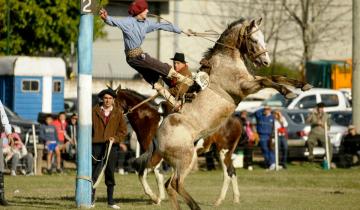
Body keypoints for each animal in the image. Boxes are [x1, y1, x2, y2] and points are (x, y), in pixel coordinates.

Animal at [156, 17, 310, 209]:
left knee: (171, 185)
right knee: (176, 183)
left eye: (262, 38)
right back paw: (197, 206)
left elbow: (275, 77)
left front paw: (301, 85)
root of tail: (158, 139)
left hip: (187, 161)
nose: (266, 62)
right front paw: (287, 92)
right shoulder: (244, 87)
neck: (227, 61)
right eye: (254, 40)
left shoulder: (251, 80)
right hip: (187, 159)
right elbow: (268, 80)